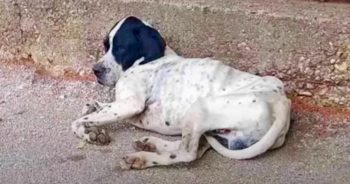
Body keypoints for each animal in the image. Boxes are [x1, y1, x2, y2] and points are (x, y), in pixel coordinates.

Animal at [70, 16, 290, 170]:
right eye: (105, 45)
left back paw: (142, 158)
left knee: (188, 154)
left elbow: (77, 122)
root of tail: (282, 102)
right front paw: (92, 110)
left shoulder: (130, 103)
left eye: (121, 48)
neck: (145, 61)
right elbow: (96, 108)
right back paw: (151, 144)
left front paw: (88, 132)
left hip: (199, 108)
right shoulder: (122, 103)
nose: (95, 70)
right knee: (192, 148)